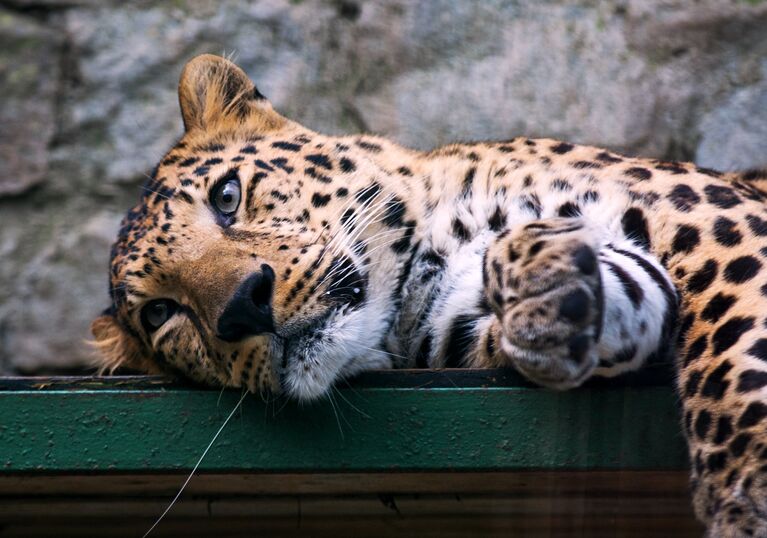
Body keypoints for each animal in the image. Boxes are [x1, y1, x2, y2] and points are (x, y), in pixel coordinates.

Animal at [93, 53, 767, 532]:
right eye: (161, 313)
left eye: (228, 197)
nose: (243, 305)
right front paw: (551, 293)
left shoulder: (705, 217)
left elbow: (733, 342)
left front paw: (745, 491)